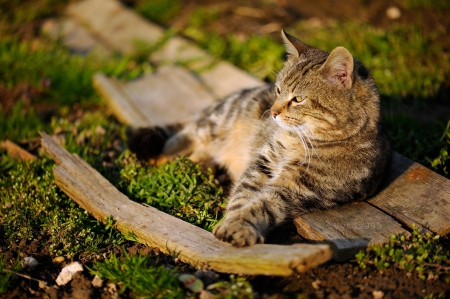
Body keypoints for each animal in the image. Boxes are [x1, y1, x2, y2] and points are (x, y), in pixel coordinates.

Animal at [128, 29, 392, 248]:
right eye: (278, 90)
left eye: (298, 99)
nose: (273, 112)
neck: (300, 142)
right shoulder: (261, 163)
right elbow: (242, 195)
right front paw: (232, 220)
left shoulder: (298, 189)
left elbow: (263, 205)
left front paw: (241, 226)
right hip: (216, 121)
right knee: (183, 136)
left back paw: (194, 166)